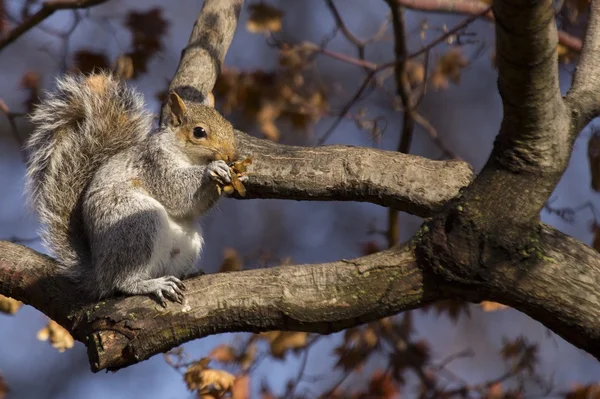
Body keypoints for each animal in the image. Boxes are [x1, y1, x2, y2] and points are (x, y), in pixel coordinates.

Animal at [25, 72, 241, 306]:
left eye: (229, 125)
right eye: (199, 132)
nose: (231, 155)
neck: (187, 155)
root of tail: (99, 273)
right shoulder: (154, 164)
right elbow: (176, 191)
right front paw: (212, 169)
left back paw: (187, 273)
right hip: (137, 222)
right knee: (122, 281)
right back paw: (151, 284)